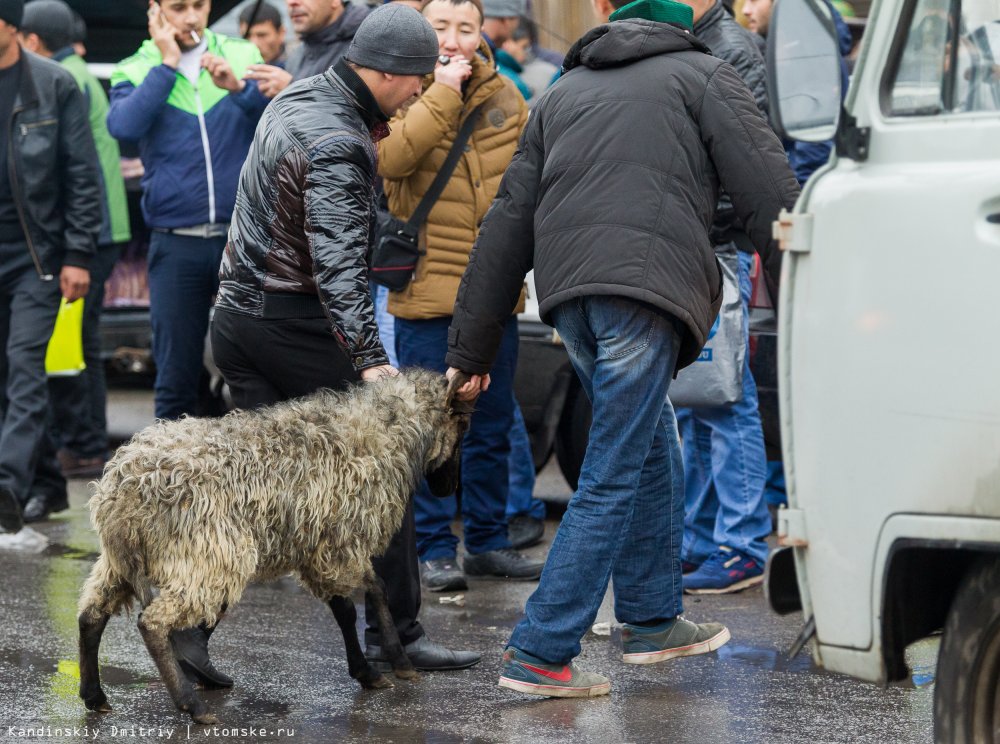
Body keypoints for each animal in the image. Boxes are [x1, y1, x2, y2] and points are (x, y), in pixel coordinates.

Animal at [76, 370, 474, 724]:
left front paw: (366, 672)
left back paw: (95, 696)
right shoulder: (343, 540)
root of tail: (123, 492)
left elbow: (344, 610)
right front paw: (399, 663)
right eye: (463, 425)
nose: (449, 489)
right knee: (153, 623)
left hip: (123, 560)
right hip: (207, 552)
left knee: (91, 615)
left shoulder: (319, 546)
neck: (382, 434)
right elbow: (377, 590)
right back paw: (192, 705)